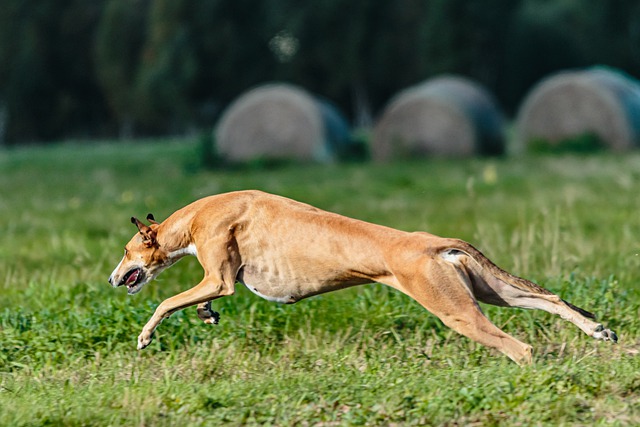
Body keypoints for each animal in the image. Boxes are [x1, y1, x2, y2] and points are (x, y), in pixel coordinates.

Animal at [107, 191, 616, 364]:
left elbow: (165, 302)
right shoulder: (217, 279)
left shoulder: (220, 276)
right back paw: (598, 330)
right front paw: (208, 315)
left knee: (520, 347)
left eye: (127, 251)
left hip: (456, 311)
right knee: (551, 300)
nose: (113, 279)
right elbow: (198, 300)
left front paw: (145, 337)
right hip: (493, 293)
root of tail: (434, 243)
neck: (195, 216)